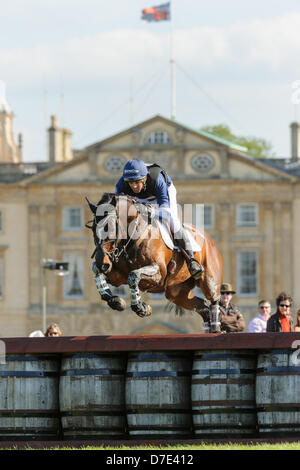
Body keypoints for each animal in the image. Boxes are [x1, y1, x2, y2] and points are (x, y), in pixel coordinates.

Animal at [85, 193, 224, 332]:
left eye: (109, 227)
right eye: (92, 229)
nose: (102, 263)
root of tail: (209, 239)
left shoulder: (158, 274)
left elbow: (133, 275)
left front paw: (141, 308)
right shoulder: (118, 277)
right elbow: (97, 272)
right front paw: (116, 301)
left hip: (209, 281)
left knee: (214, 301)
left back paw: (216, 329)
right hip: (177, 293)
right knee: (203, 307)